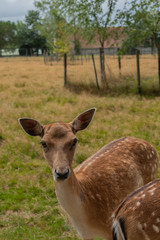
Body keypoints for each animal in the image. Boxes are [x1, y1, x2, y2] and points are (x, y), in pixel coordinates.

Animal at [18, 109, 159, 240]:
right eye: (43, 143)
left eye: (74, 141)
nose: (62, 173)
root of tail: (148, 143)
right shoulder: (83, 234)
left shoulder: (108, 229)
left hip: (151, 173)